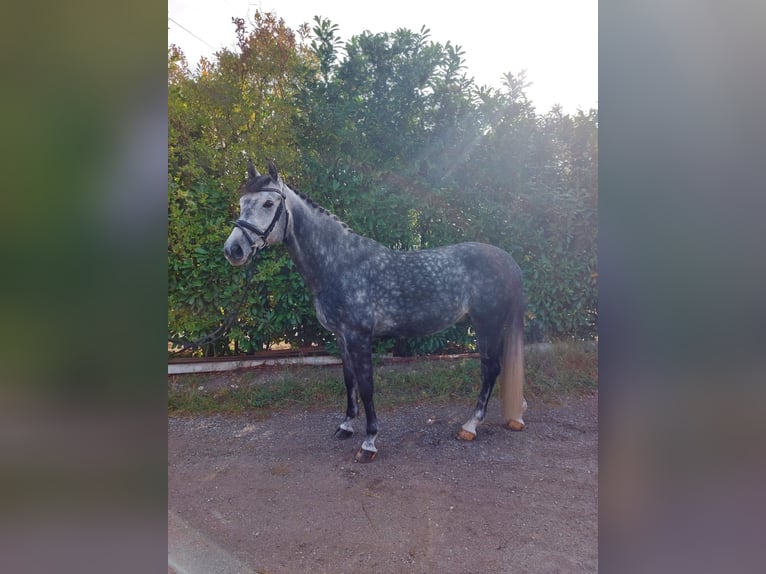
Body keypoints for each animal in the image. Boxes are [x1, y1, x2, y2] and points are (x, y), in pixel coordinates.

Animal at [224, 159, 527, 463]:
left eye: (268, 203)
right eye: (242, 203)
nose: (233, 250)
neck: (340, 264)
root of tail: (507, 260)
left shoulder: (359, 337)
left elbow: (367, 386)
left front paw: (369, 441)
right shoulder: (341, 337)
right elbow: (349, 381)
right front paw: (346, 426)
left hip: (487, 324)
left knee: (490, 369)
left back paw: (470, 426)